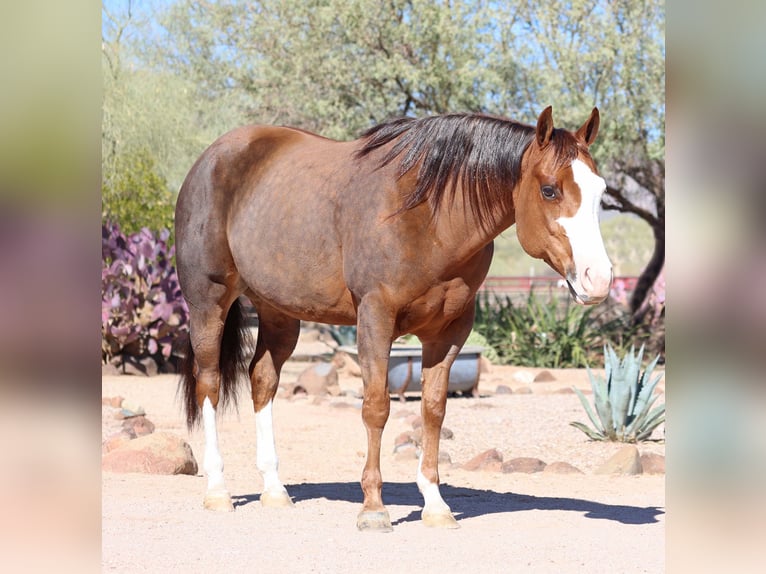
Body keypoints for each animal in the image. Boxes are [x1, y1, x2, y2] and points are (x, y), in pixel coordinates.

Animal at [174, 106, 612, 532]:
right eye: (549, 189)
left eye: (600, 191)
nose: (600, 278)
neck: (431, 217)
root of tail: (210, 158)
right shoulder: (375, 318)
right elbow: (376, 407)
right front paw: (373, 508)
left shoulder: (448, 332)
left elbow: (433, 410)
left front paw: (435, 505)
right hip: (209, 303)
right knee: (210, 383)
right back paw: (218, 490)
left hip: (278, 312)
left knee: (262, 380)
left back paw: (274, 489)